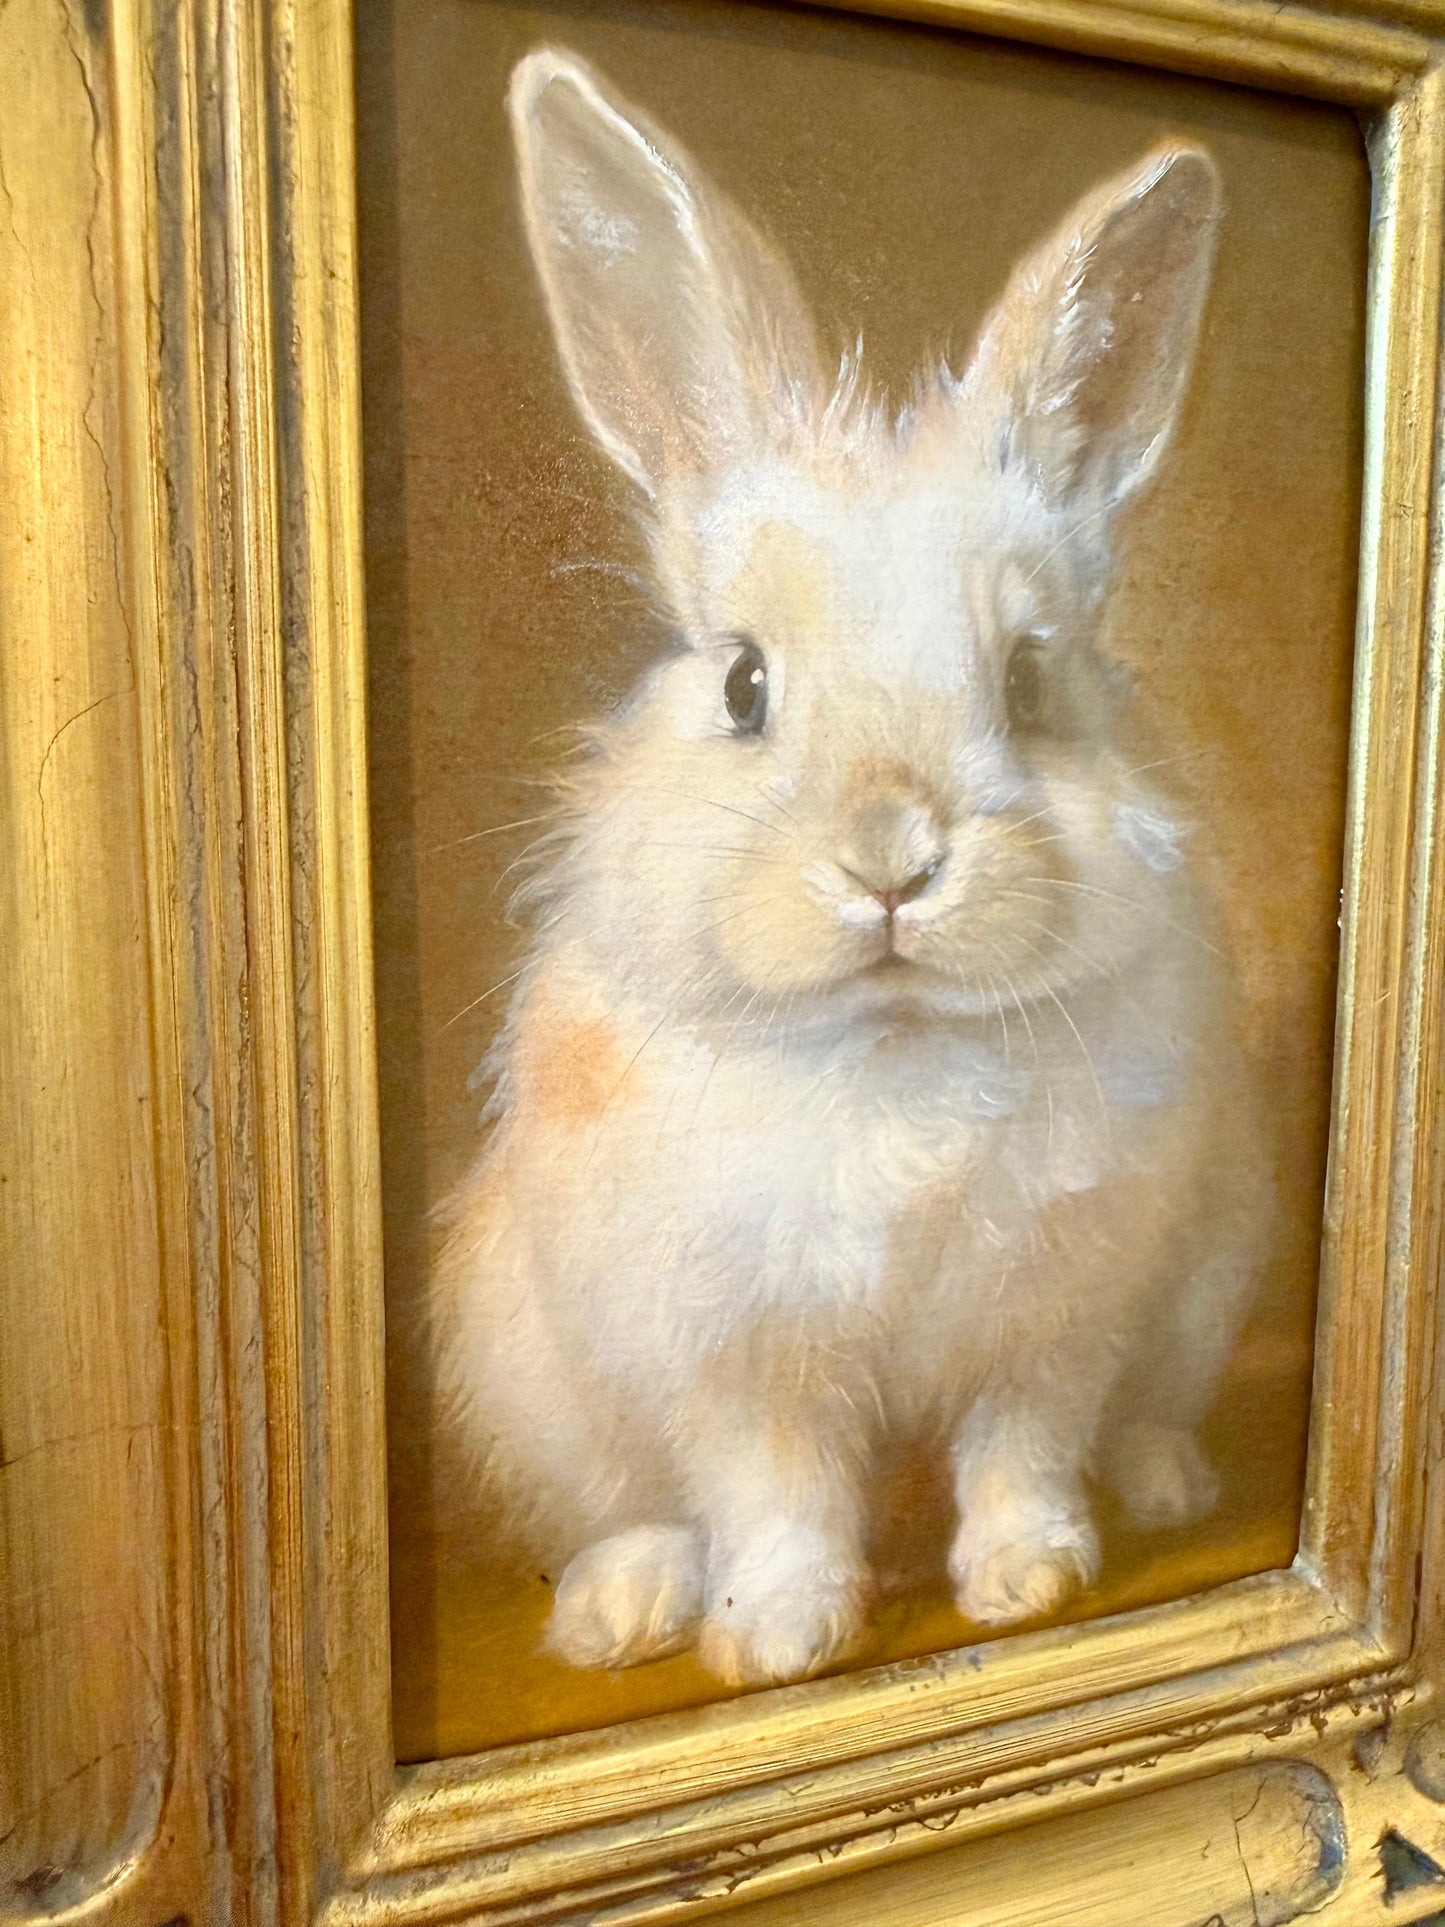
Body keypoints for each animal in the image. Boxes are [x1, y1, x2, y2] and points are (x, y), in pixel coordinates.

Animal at [430, 46, 1272, 1690]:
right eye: (744, 682)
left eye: (1028, 678)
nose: (890, 859)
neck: (894, 1047)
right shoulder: (739, 1351)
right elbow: (776, 1485)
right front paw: (783, 1636)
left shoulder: (1056, 1316)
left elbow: (1020, 1443)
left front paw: (1029, 1576)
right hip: (530, 1376)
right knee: (623, 1506)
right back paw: (623, 1608)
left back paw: (1163, 1481)